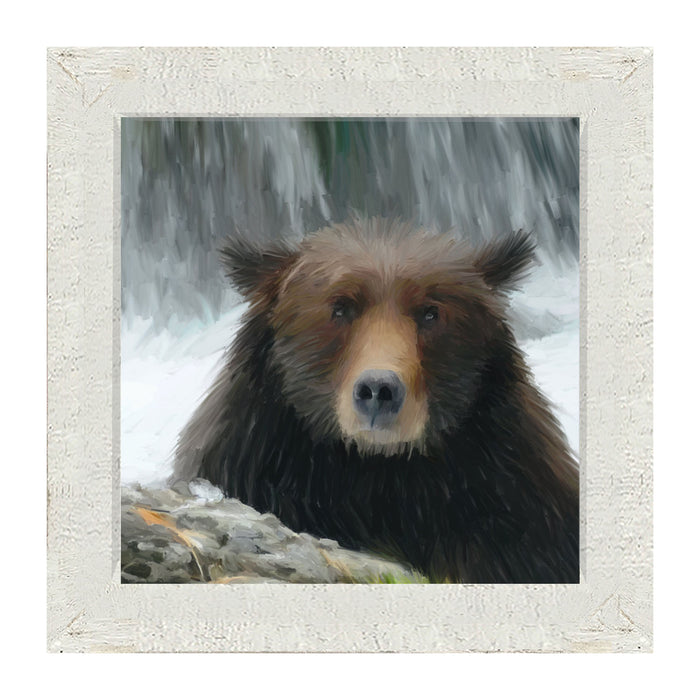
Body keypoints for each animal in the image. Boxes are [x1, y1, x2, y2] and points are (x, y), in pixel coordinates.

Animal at [172, 218, 579, 583]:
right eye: (340, 307)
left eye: (431, 312)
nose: (378, 390)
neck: (377, 473)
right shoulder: (255, 463)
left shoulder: (512, 502)